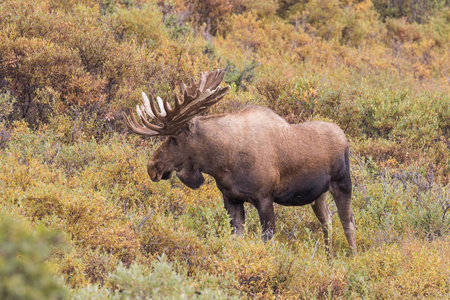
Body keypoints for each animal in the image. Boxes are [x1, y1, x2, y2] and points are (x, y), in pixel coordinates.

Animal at [123, 69, 356, 255]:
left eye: (173, 137)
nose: (152, 167)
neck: (222, 162)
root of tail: (344, 136)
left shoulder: (265, 198)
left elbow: (267, 239)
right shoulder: (231, 199)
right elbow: (237, 238)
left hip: (342, 183)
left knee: (348, 221)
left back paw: (352, 259)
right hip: (318, 195)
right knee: (327, 220)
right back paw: (329, 258)